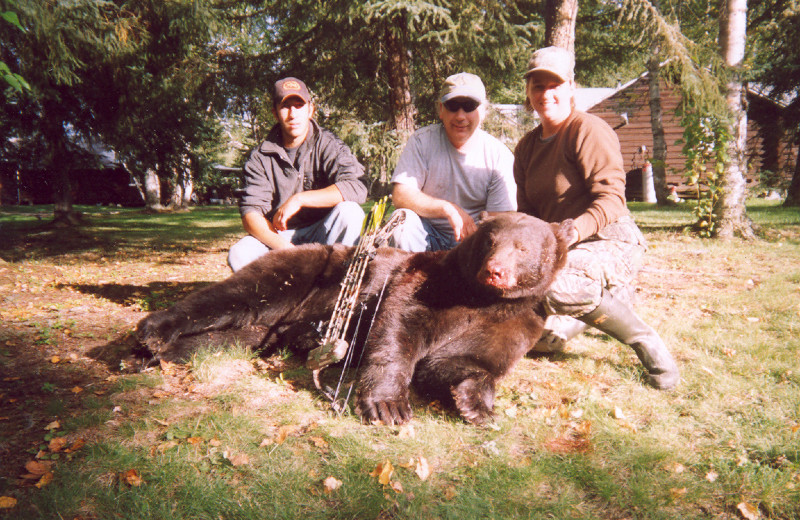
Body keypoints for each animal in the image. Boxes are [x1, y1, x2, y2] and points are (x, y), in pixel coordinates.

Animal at [139, 211, 576, 426]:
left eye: (523, 248)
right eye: (490, 241)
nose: (494, 271)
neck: (481, 298)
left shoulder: (513, 322)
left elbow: (462, 362)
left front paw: (476, 407)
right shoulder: (427, 284)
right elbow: (399, 327)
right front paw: (389, 407)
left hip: (264, 330)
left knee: (229, 337)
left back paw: (156, 353)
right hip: (304, 273)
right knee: (233, 297)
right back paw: (151, 333)